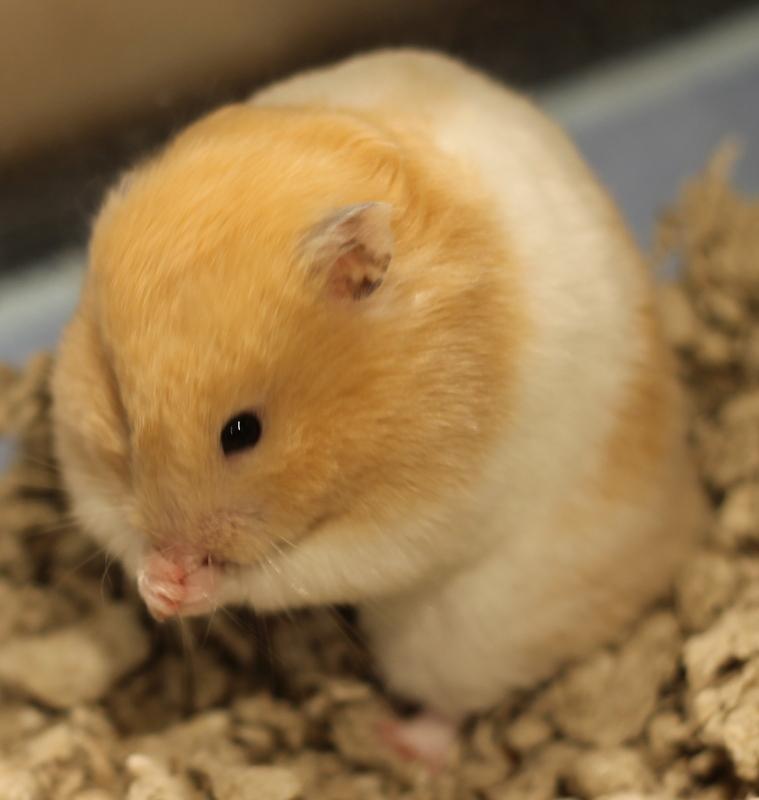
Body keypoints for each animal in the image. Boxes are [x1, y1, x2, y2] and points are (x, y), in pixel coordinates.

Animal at [51, 49, 705, 762]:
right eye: (122, 415)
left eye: (243, 431)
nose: (174, 549)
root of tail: (680, 532)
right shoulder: (84, 466)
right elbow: (113, 524)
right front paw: (159, 584)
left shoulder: (413, 519)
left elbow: (288, 572)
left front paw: (191, 586)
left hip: (466, 631)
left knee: (450, 704)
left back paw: (393, 738)